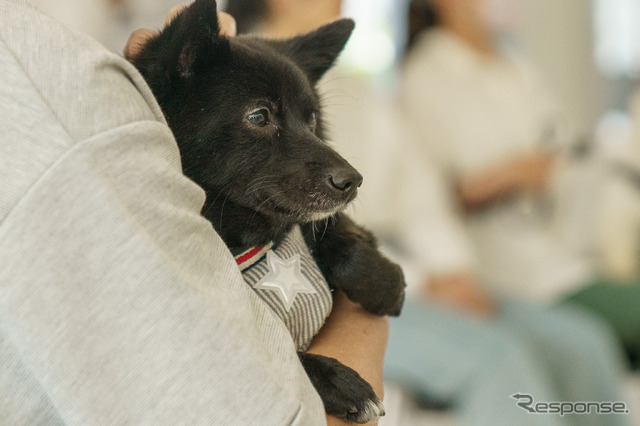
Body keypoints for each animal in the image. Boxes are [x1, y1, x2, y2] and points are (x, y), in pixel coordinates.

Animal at [131, 0, 404, 422]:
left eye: (312, 118)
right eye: (258, 116)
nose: (353, 180)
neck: (241, 235)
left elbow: (331, 231)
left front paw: (385, 282)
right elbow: (288, 357)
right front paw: (339, 382)